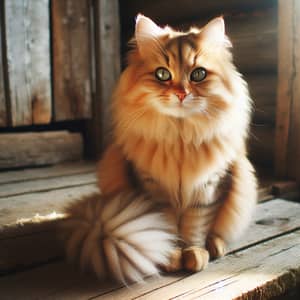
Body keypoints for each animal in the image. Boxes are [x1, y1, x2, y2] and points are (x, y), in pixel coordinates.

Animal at [61, 14, 258, 284]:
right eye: (162, 74)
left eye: (198, 74)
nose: (181, 94)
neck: (180, 139)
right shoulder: (153, 188)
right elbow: (167, 226)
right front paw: (171, 255)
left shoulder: (209, 187)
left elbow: (195, 227)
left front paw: (194, 253)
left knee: (216, 232)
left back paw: (215, 246)